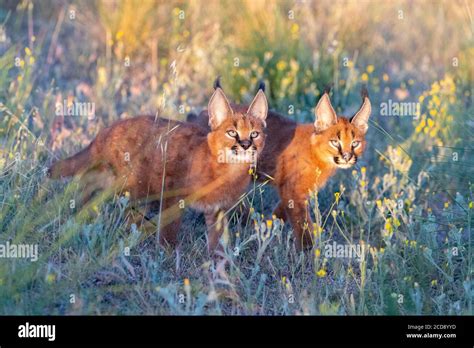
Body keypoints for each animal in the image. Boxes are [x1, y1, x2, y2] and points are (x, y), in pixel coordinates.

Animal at [50, 86, 270, 250]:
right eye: (232, 132)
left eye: (255, 134)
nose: (245, 145)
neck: (227, 171)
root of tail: (105, 130)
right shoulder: (172, 188)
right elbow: (170, 225)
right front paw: (168, 251)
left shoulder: (217, 209)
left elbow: (217, 238)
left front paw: (218, 264)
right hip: (130, 182)